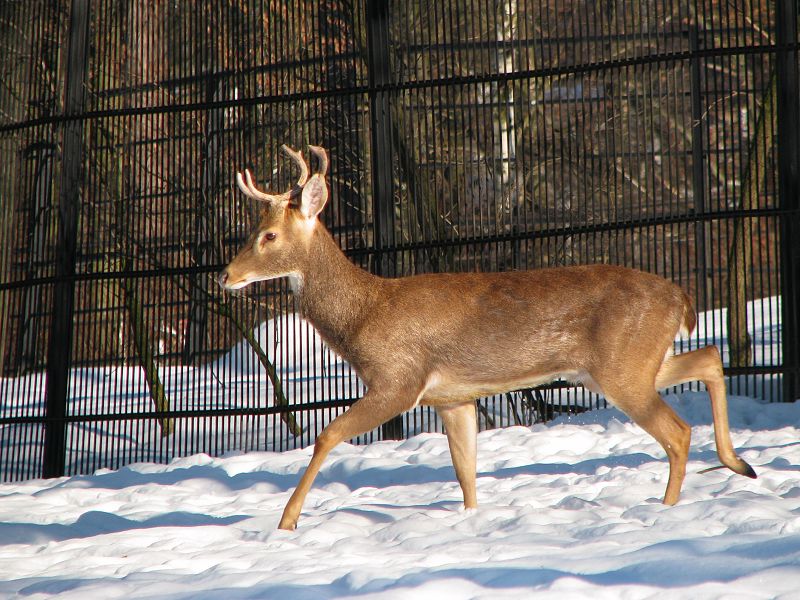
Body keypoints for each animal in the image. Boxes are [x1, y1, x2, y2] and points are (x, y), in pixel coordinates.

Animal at [218, 144, 757, 531]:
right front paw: (472, 522)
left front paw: (286, 522)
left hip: (622, 367)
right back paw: (739, 464)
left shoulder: (399, 380)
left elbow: (327, 433)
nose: (225, 275)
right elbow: (466, 471)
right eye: (250, 229)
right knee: (710, 356)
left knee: (678, 431)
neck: (364, 314)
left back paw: (668, 508)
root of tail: (681, 297)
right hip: (632, 361)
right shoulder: (453, 396)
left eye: (267, 235)